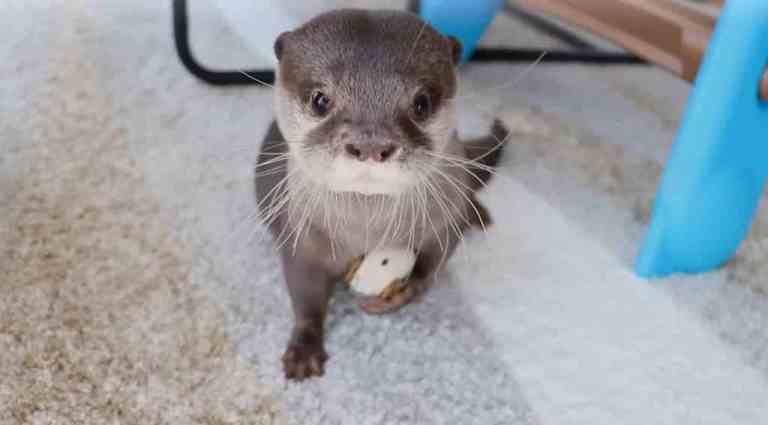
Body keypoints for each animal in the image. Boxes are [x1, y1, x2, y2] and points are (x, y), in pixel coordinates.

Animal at [256, 8, 510, 380]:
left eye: (422, 103)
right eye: (320, 100)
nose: (370, 143)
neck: (367, 231)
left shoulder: (443, 223)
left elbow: (434, 262)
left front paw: (403, 290)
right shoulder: (301, 239)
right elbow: (304, 296)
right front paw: (303, 349)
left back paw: (476, 213)